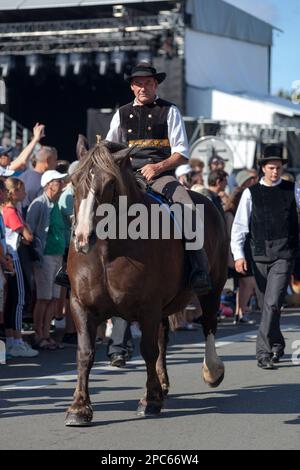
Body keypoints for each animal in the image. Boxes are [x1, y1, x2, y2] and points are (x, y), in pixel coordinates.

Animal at [65, 139, 227, 426]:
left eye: (109, 183)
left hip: (213, 288)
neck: (109, 251)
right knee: (164, 338)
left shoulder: (148, 307)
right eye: (74, 181)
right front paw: (79, 407)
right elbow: (84, 353)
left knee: (208, 324)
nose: (83, 238)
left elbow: (148, 350)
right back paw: (162, 385)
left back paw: (212, 371)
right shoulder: (81, 305)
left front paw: (149, 401)